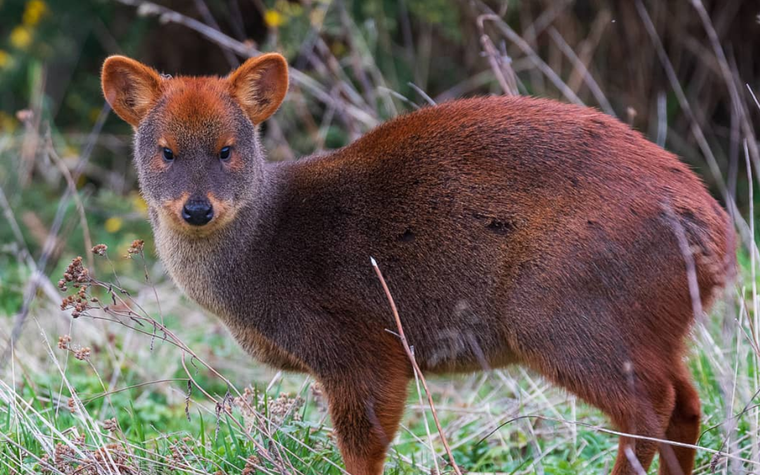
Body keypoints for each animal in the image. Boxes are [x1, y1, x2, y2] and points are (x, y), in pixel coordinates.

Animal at [101, 52, 735, 475]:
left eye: (228, 150)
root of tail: (715, 232)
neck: (264, 253)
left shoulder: (360, 348)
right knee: (684, 401)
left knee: (647, 412)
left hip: (562, 309)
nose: (197, 208)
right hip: (652, 327)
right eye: (165, 152)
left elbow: (364, 452)